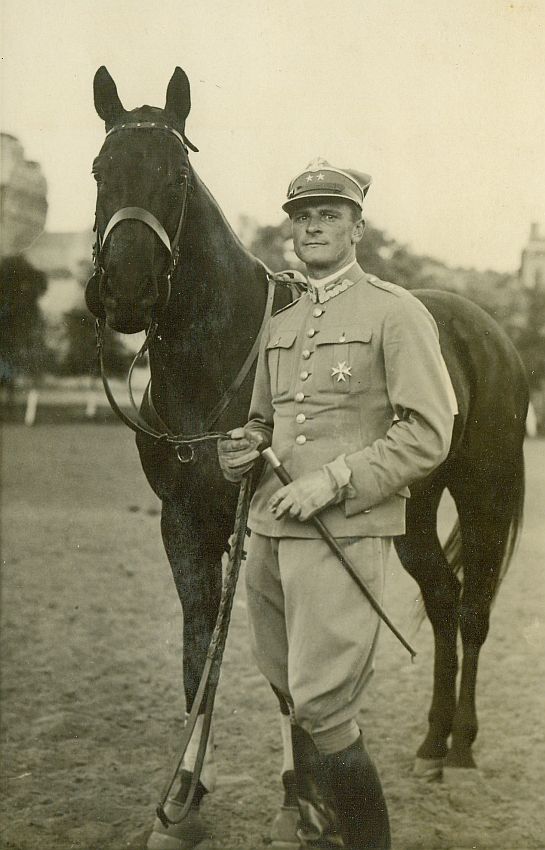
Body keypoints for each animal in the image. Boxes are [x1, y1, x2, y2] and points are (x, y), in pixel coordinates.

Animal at [86, 66, 528, 849]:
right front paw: (187, 793)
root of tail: (490, 329)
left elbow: (286, 669)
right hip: (410, 515)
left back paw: (461, 748)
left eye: (176, 174)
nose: (129, 290)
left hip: (484, 498)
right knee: (443, 600)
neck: (216, 360)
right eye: (101, 171)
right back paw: (430, 742)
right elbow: (202, 649)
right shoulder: (185, 525)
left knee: (473, 610)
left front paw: (306, 798)